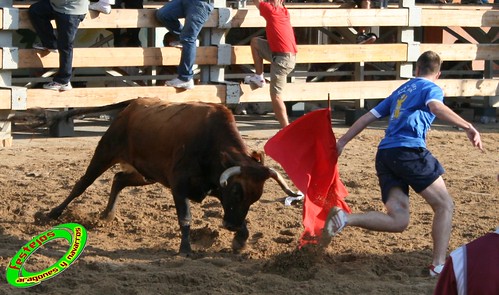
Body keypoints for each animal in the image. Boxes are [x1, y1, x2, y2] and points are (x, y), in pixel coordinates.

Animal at [38, 98, 300, 256]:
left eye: (255, 197)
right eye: (236, 191)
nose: (230, 226)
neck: (211, 144)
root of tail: (135, 103)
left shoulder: (215, 188)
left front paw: (240, 239)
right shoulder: (179, 187)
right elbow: (185, 218)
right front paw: (185, 248)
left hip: (147, 174)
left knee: (119, 179)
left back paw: (108, 214)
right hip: (105, 153)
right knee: (82, 184)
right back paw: (53, 213)